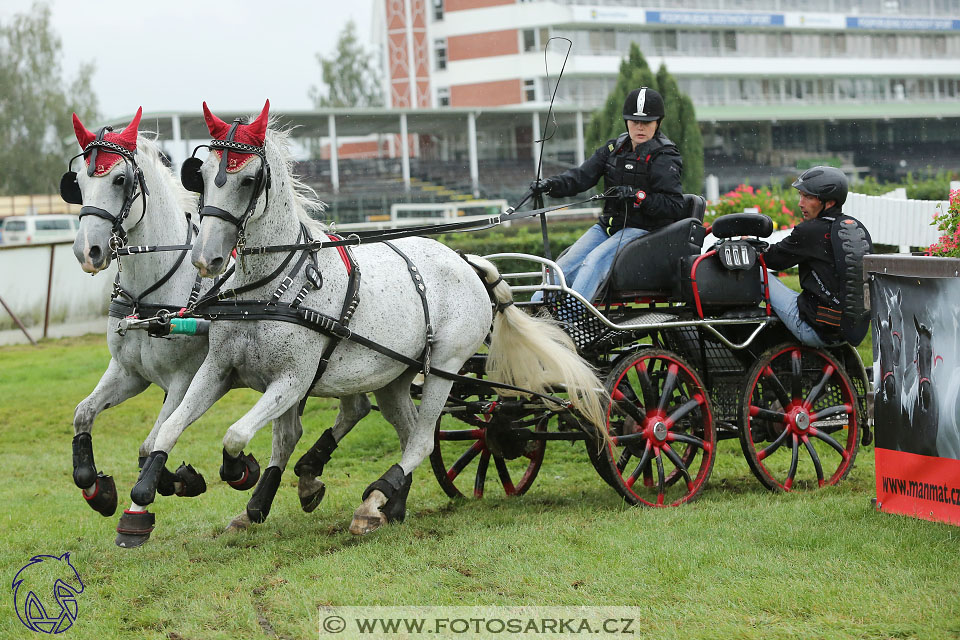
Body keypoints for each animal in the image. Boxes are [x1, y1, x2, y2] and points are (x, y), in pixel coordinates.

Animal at [67, 110, 212, 540]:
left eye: (119, 180)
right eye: (78, 181)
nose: (87, 251)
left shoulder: (184, 378)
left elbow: (150, 446)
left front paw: (177, 482)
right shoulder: (129, 373)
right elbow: (83, 413)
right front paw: (97, 490)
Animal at [127, 101, 608, 540]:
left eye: (249, 180)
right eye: (202, 174)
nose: (205, 258)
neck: (265, 291)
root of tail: (468, 261)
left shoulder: (292, 381)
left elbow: (236, 434)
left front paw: (240, 470)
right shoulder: (217, 370)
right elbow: (169, 429)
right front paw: (151, 487)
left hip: (444, 366)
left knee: (422, 438)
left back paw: (374, 501)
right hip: (394, 373)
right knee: (410, 431)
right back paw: (388, 502)